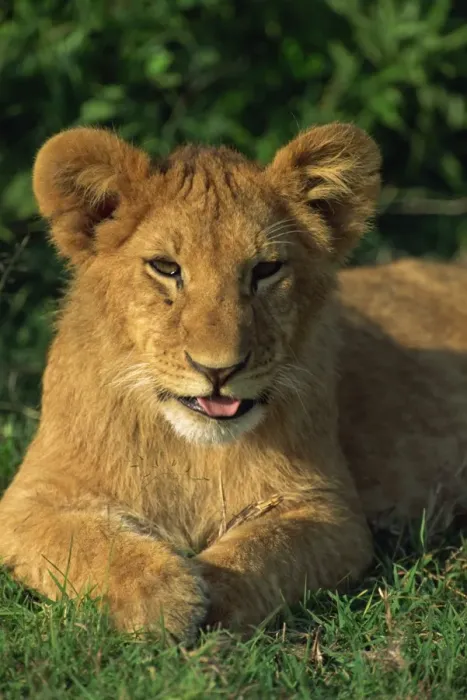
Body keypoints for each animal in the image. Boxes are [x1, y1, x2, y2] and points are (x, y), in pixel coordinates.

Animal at [1, 124, 466, 644]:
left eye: (265, 270)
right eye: (166, 268)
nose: (218, 370)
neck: (190, 450)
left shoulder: (329, 510)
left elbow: (266, 549)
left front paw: (210, 596)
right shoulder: (27, 500)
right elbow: (87, 541)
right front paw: (159, 593)